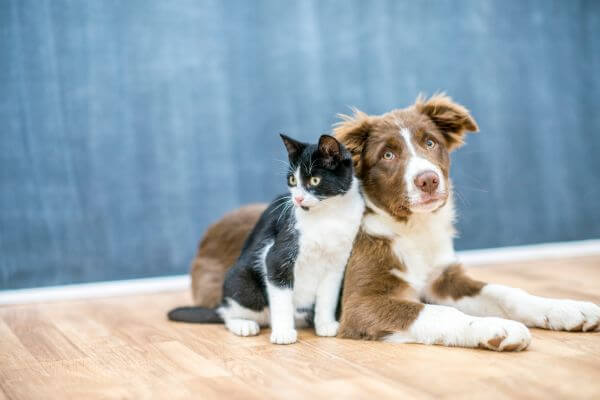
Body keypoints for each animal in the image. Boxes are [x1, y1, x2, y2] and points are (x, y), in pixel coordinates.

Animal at [169, 134, 366, 344]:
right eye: (292, 179)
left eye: (314, 180)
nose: (297, 199)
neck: (328, 215)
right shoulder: (276, 256)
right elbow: (281, 298)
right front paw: (283, 333)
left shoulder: (337, 264)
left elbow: (328, 296)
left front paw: (326, 325)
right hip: (242, 282)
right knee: (228, 313)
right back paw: (243, 324)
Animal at [189, 94, 600, 350]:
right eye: (387, 155)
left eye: (430, 142)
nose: (428, 180)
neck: (410, 230)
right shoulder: (361, 302)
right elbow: (437, 313)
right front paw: (492, 328)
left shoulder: (443, 277)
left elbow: (506, 292)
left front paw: (566, 309)